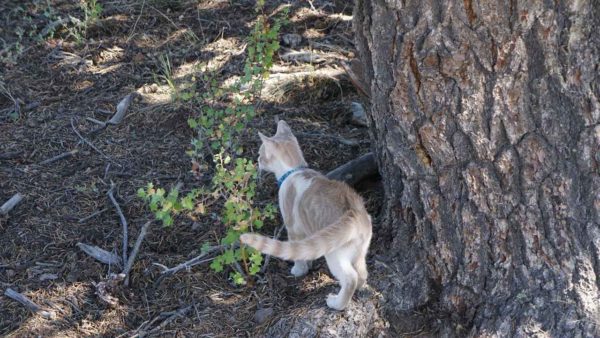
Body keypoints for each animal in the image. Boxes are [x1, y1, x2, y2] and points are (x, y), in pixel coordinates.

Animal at [238, 120, 370, 310]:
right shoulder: (307, 230)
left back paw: (336, 303)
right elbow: (305, 249)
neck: (294, 170)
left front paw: (299, 270)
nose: (257, 160)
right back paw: (358, 287)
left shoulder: (293, 226)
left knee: (350, 278)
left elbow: (296, 250)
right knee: (362, 272)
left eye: (260, 154)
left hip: (335, 254)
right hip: (360, 251)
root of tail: (355, 213)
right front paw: (308, 263)